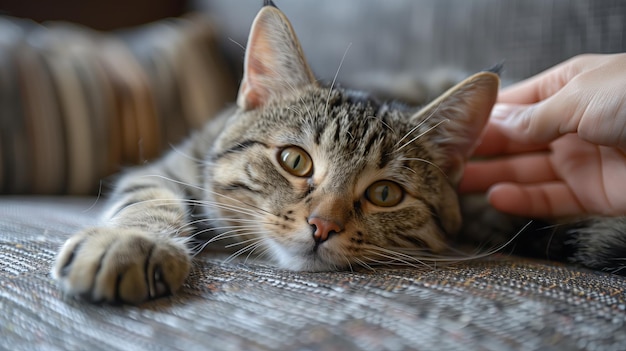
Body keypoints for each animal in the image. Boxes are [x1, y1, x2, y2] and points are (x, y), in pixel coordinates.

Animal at [52, 0, 624, 306]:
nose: (322, 225)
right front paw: (129, 243)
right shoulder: (171, 165)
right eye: (294, 161)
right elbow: (149, 198)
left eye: (385, 194)